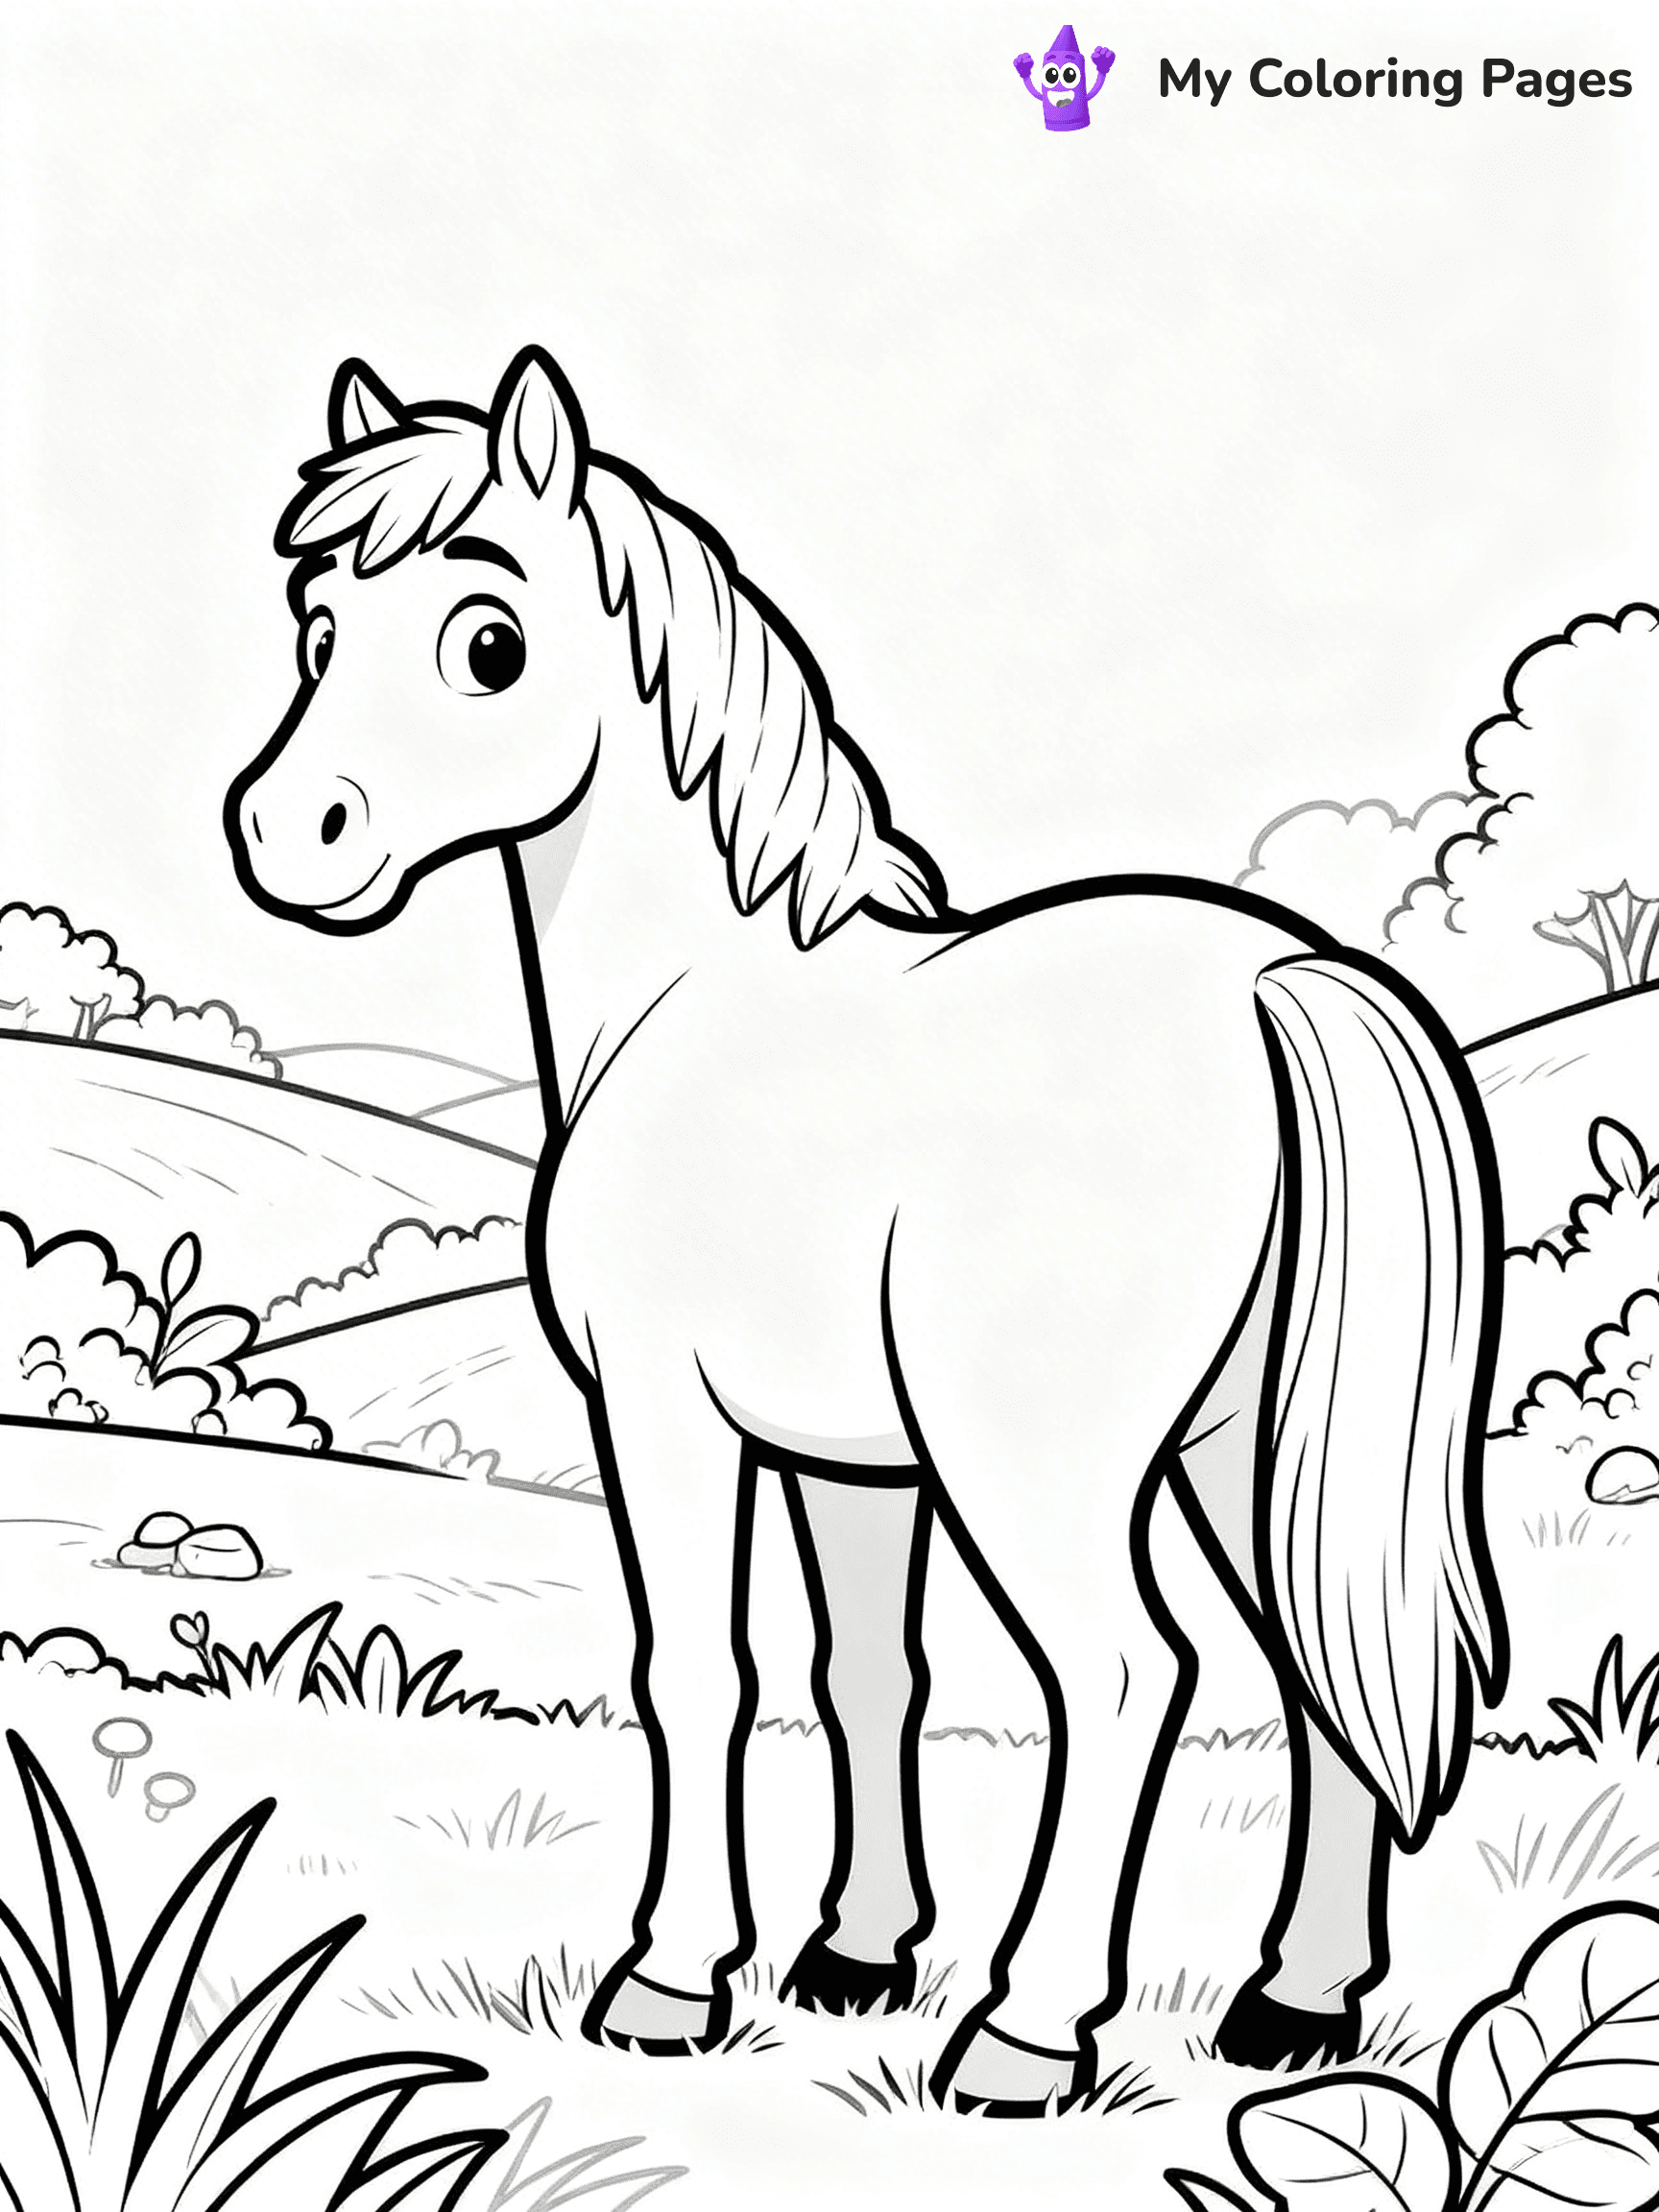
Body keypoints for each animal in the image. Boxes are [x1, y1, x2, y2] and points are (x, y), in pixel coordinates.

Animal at [225, 345, 1506, 2116]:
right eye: (318, 628)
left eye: (490, 643)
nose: (291, 838)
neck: (696, 1001)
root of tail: (1272, 978)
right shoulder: (852, 1458)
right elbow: (866, 1677)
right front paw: (854, 1959)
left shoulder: (663, 1413)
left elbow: (698, 1673)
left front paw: (668, 1983)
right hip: (1246, 1437)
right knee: (1318, 1672)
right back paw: (1292, 2006)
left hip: (1044, 1462)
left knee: (1124, 1674)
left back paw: (1028, 2038)